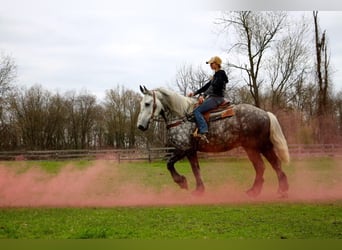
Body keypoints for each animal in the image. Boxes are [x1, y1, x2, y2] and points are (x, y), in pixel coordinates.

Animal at [136, 86, 288, 197]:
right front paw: (199, 190)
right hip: (251, 148)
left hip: (262, 146)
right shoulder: (191, 151)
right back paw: (254, 191)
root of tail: (265, 113)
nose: (140, 126)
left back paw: (281, 190)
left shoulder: (183, 149)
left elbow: (169, 164)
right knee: (261, 166)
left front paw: (182, 182)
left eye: (147, 104)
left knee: (275, 164)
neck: (182, 117)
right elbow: (195, 169)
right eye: (141, 104)